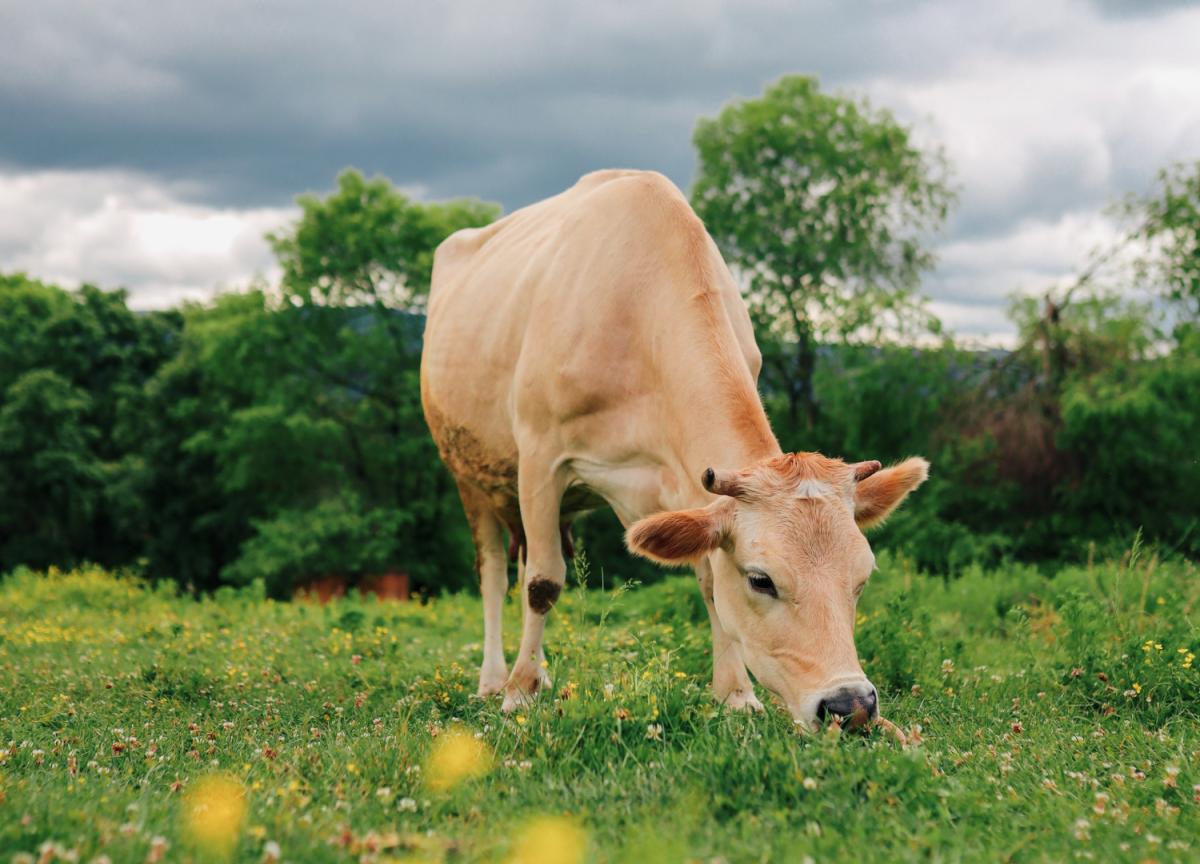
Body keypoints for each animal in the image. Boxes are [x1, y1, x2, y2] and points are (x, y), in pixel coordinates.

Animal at [420, 169, 928, 730]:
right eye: (762, 580)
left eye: (861, 578)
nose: (851, 706)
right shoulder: (540, 459)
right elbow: (543, 583)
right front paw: (520, 692)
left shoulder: (692, 482)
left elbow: (708, 581)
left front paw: (735, 693)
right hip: (470, 474)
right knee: (494, 572)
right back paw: (495, 680)